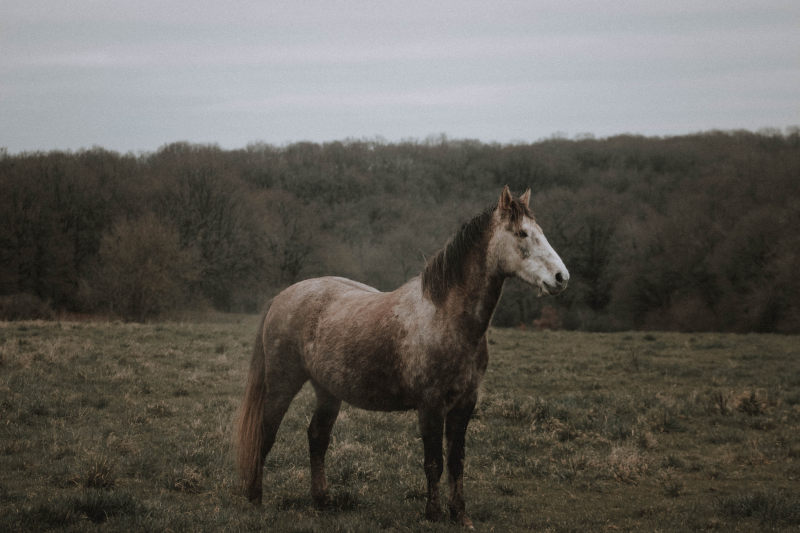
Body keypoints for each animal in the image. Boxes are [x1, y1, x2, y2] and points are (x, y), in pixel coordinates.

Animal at [238, 185, 568, 524]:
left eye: (539, 231)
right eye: (522, 233)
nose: (561, 277)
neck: (446, 317)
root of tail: (282, 296)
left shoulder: (465, 404)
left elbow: (457, 462)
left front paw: (460, 515)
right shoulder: (431, 405)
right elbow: (434, 462)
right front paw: (433, 514)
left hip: (327, 391)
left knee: (317, 437)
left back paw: (322, 501)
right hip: (282, 384)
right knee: (265, 434)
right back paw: (255, 498)